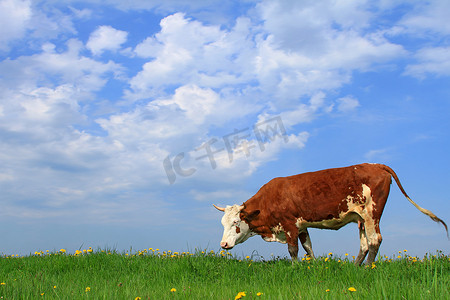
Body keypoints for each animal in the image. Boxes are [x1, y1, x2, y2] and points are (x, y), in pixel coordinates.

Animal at [214, 164, 446, 264]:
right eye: (222, 223)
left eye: (236, 222)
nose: (223, 244)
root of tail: (376, 165)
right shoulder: (302, 226)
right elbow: (308, 248)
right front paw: (314, 266)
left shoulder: (289, 225)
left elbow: (293, 250)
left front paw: (295, 268)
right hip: (361, 219)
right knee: (364, 244)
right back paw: (355, 267)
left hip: (372, 213)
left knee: (375, 240)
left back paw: (368, 268)